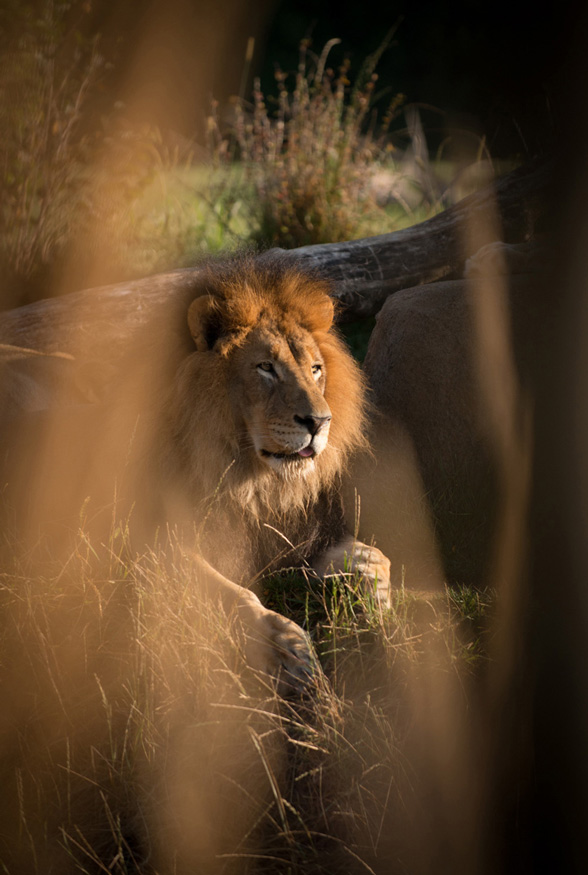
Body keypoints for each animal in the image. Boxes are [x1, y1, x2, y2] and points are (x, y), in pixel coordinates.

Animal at [0, 256, 390, 688]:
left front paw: (373, 597)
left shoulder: (303, 536)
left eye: (317, 369)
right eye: (265, 367)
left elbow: (376, 556)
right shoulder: (139, 547)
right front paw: (286, 650)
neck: (251, 483)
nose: (320, 422)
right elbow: (231, 593)